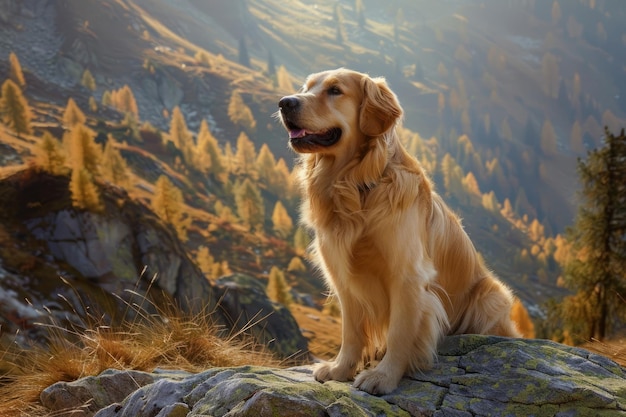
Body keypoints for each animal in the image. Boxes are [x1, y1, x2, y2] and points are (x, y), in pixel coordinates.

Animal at [276, 67, 516, 394]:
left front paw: (384, 376)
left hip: (491, 297)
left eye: (335, 90)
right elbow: (351, 332)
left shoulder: (408, 276)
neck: (356, 187)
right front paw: (341, 368)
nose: (284, 102)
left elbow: (400, 333)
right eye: (306, 87)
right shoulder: (343, 276)